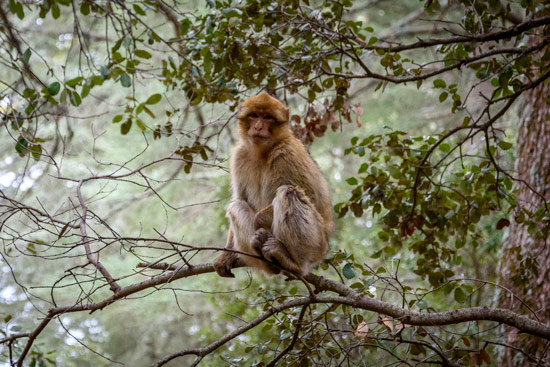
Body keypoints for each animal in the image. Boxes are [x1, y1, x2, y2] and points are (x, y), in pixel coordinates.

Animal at [213, 92, 334, 278]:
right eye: (254, 115)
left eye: (268, 117)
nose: (258, 127)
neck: (262, 152)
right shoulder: (239, 155)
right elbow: (240, 198)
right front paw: (226, 255)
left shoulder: (288, 153)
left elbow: (311, 195)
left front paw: (259, 222)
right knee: (236, 206)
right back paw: (265, 259)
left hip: (316, 244)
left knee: (288, 193)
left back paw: (292, 262)